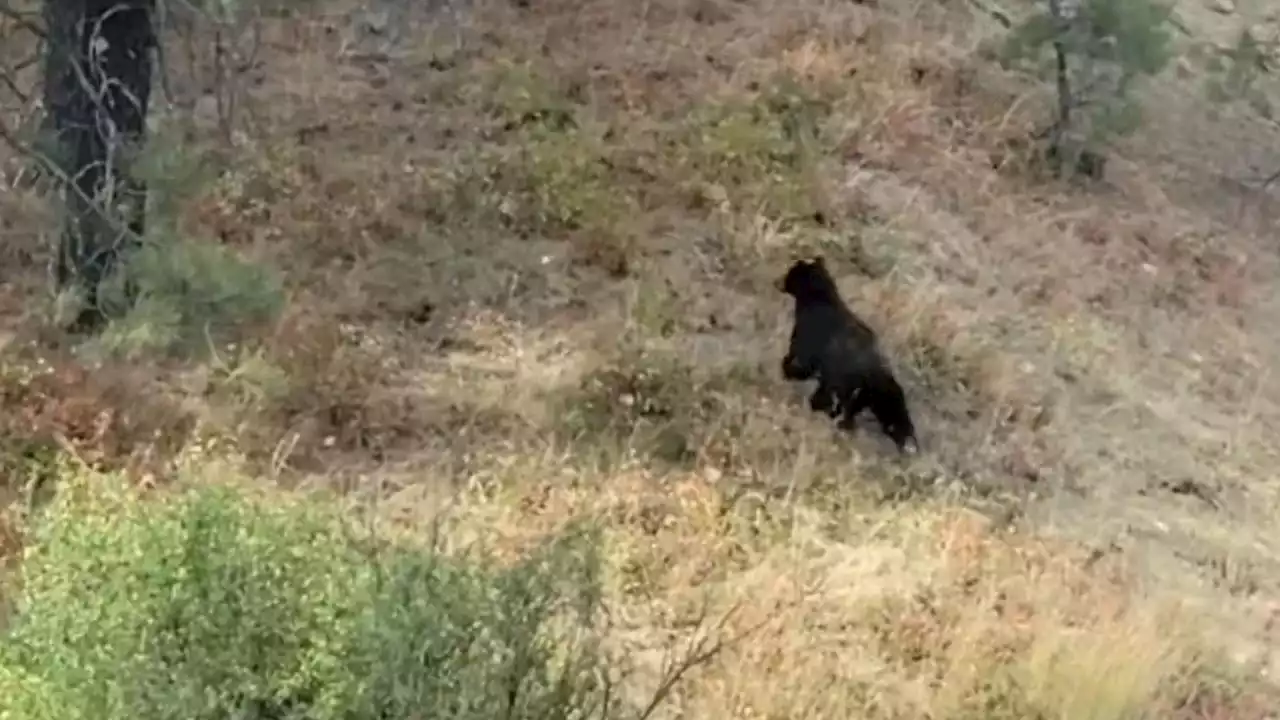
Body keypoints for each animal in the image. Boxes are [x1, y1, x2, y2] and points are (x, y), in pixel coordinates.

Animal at [773, 254, 916, 450]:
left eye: (789, 273)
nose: (776, 282)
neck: (815, 298)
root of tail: (877, 375)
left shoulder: (810, 334)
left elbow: (801, 359)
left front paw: (786, 368)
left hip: (844, 383)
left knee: (827, 398)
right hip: (863, 395)